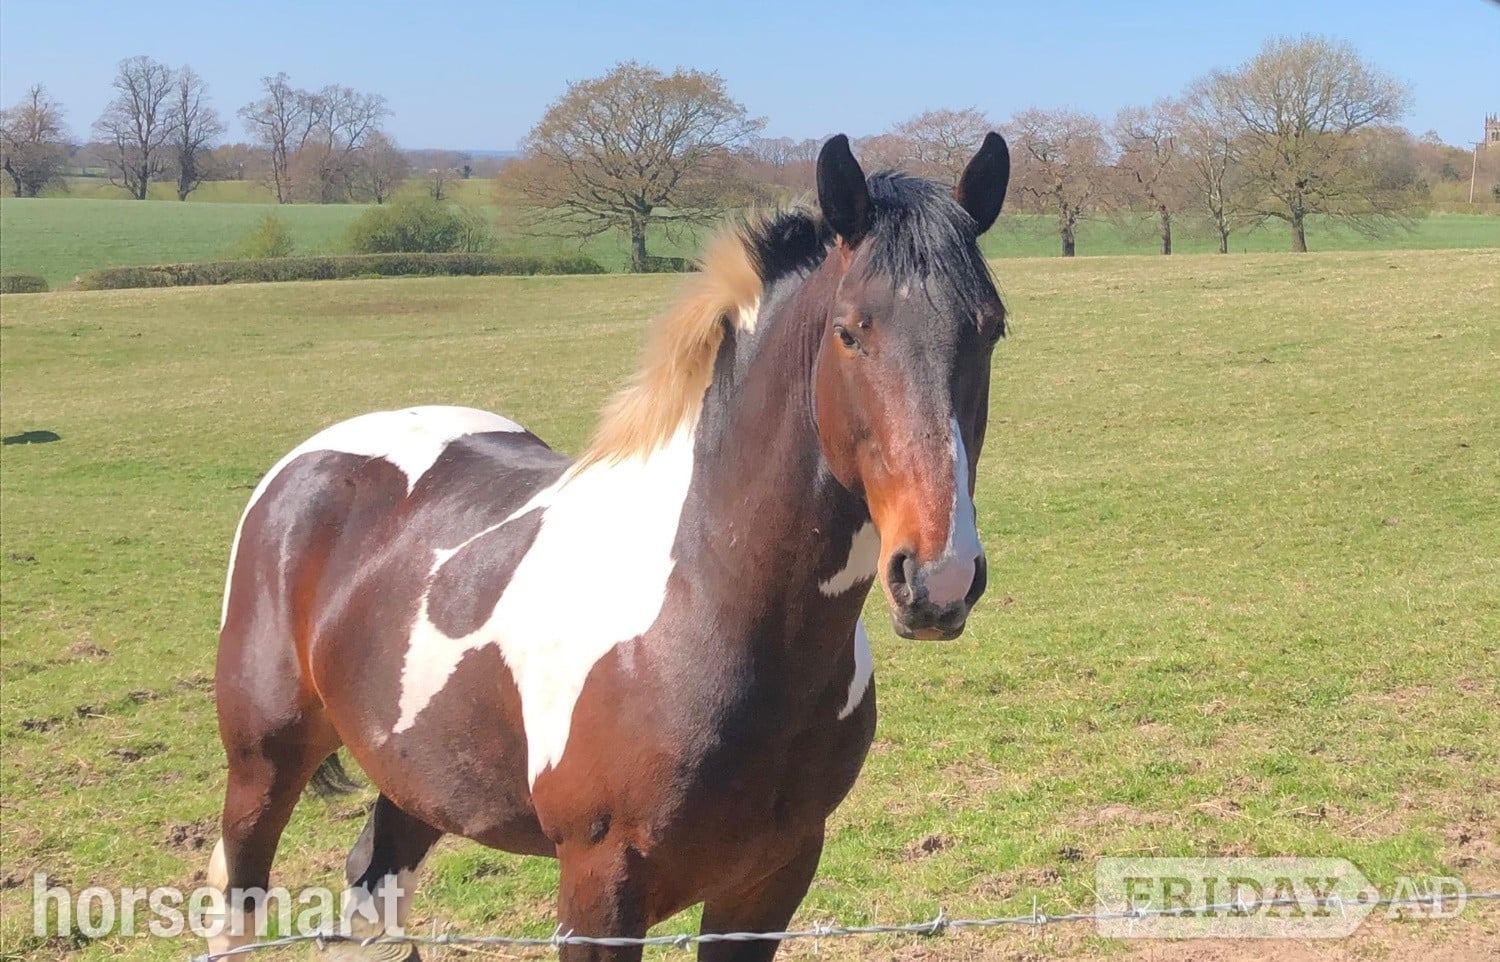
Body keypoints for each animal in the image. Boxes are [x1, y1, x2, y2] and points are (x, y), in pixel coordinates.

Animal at [207, 131, 1011, 962]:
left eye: (991, 329)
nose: (939, 576)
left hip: (418, 774)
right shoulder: (601, 887)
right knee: (237, 894)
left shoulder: (770, 878)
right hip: (263, 765)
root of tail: (307, 464)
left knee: (373, 879)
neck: (706, 605)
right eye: (851, 331)